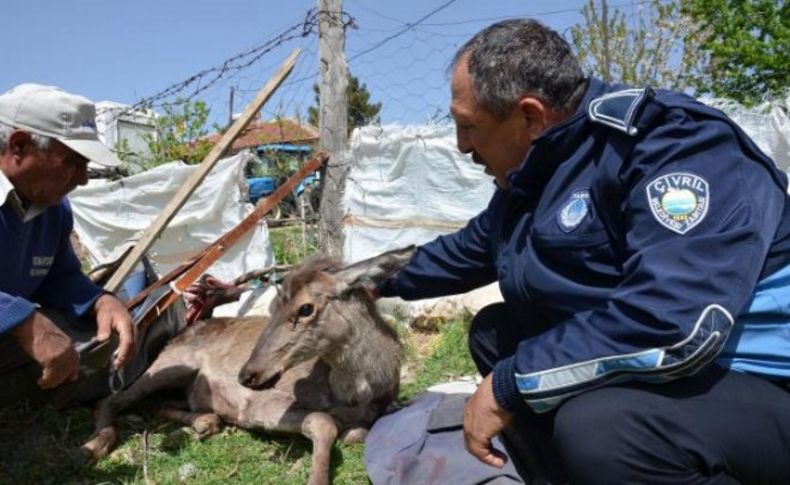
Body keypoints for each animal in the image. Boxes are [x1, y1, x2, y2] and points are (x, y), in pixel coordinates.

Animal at [81, 246, 418, 484]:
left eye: (305, 308)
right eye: (271, 307)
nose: (247, 374)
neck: (358, 391)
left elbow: (355, 432)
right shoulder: (261, 403)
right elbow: (323, 421)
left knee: (153, 402)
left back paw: (206, 420)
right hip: (170, 363)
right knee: (110, 398)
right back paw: (95, 445)